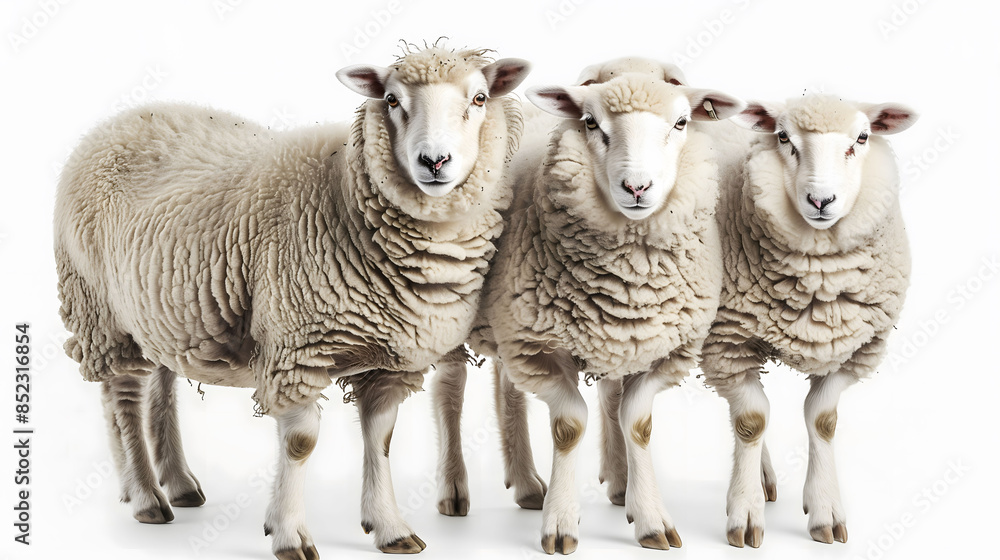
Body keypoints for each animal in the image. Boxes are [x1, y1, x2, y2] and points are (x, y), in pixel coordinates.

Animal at [54, 45, 530, 559]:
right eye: (391, 99)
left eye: (479, 98)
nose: (434, 161)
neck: (345, 196)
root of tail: (112, 123)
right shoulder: (297, 347)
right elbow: (300, 443)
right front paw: (288, 534)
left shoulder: (389, 356)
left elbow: (381, 439)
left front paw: (389, 527)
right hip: (99, 307)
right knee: (124, 396)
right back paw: (145, 496)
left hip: (162, 310)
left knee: (152, 388)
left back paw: (172, 483)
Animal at [458, 73, 745, 554]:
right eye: (590, 122)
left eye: (681, 122)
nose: (637, 187)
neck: (629, 275)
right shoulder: (537, 348)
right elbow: (570, 426)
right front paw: (561, 521)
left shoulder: (664, 351)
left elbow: (638, 424)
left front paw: (649, 518)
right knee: (450, 389)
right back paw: (456, 493)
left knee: (509, 388)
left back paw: (536, 484)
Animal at [699, 94, 918, 548]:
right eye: (783, 137)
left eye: (862, 137)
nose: (821, 200)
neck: (818, 285)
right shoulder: (727, 342)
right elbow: (751, 421)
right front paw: (745, 513)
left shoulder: (856, 347)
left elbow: (821, 420)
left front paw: (824, 510)